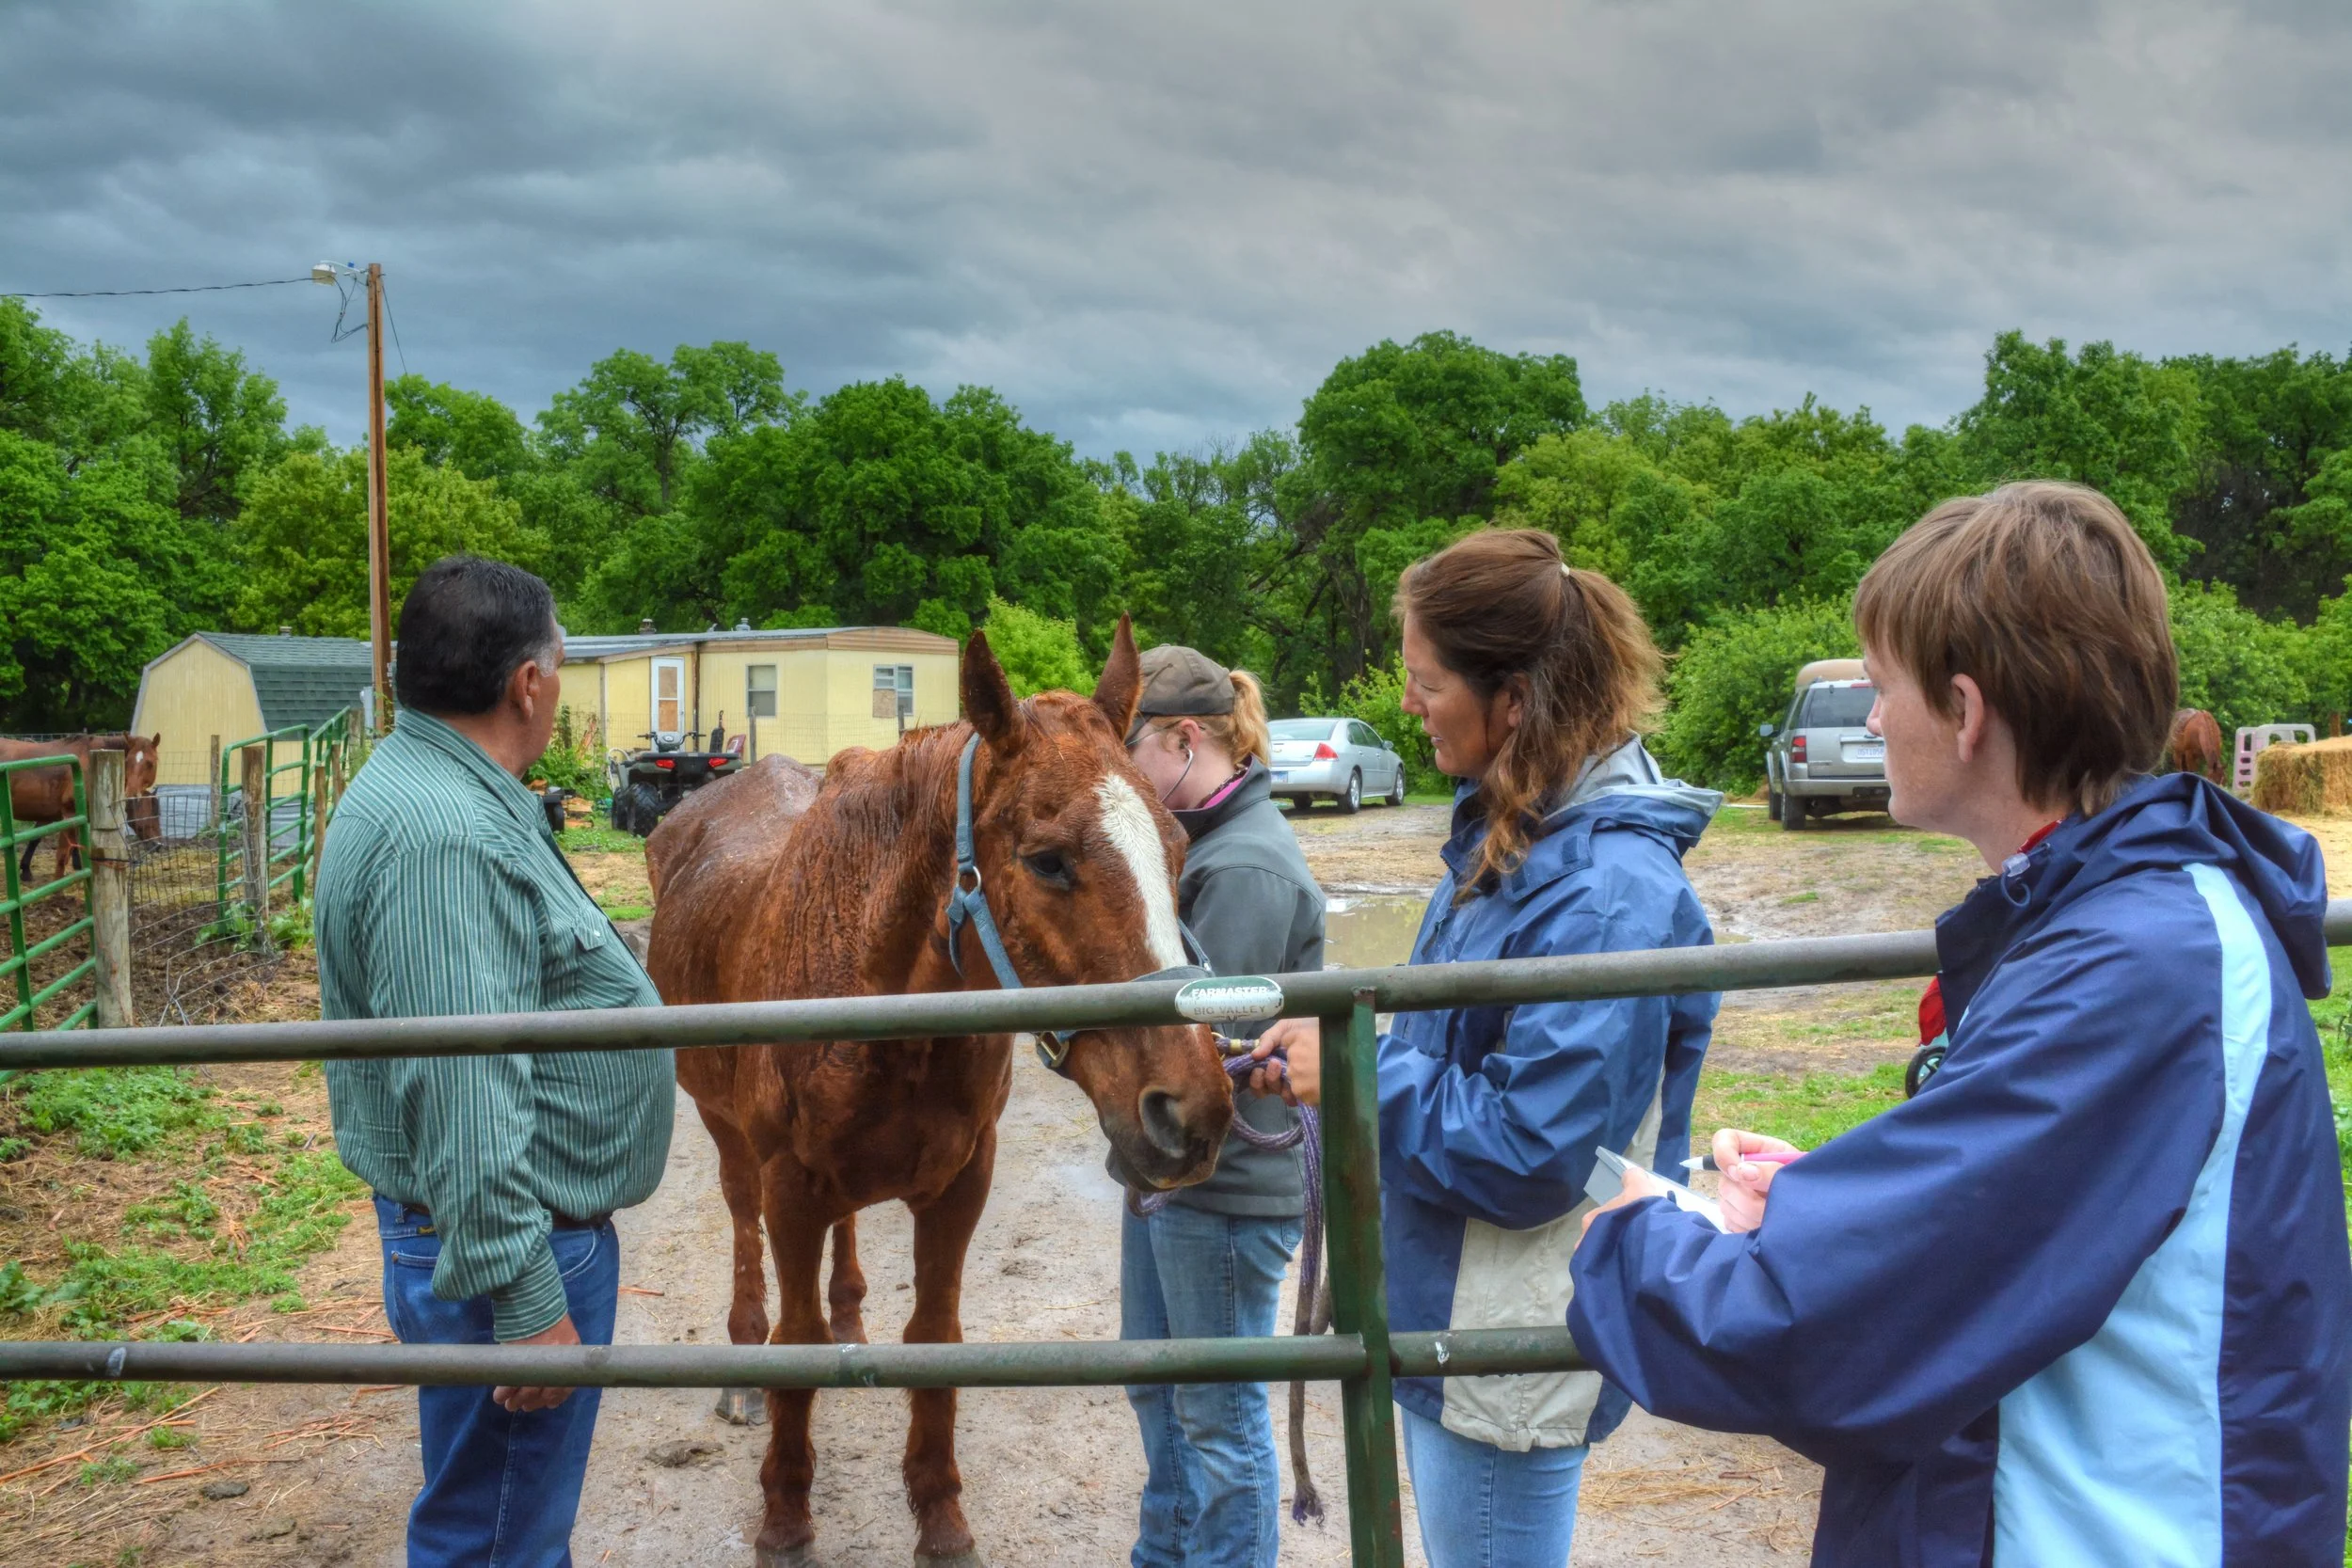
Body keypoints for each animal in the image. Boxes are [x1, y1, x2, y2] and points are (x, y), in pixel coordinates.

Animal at [0, 734, 161, 878]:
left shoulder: (52, 815)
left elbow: (39, 839)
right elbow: (63, 853)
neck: (90, 766)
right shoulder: (68, 813)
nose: (158, 844)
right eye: (127, 761)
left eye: (150, 763)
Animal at [644, 618, 1234, 1568]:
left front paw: (941, 1516)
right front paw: (786, 1516)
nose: (1193, 1112)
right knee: (740, 1222)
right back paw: (741, 1363)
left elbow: (935, 1340)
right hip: (726, 1133)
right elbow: (795, 1346)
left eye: (1176, 847)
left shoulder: (960, 1186)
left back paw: (851, 1320)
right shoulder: (790, 1190)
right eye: (1047, 861)